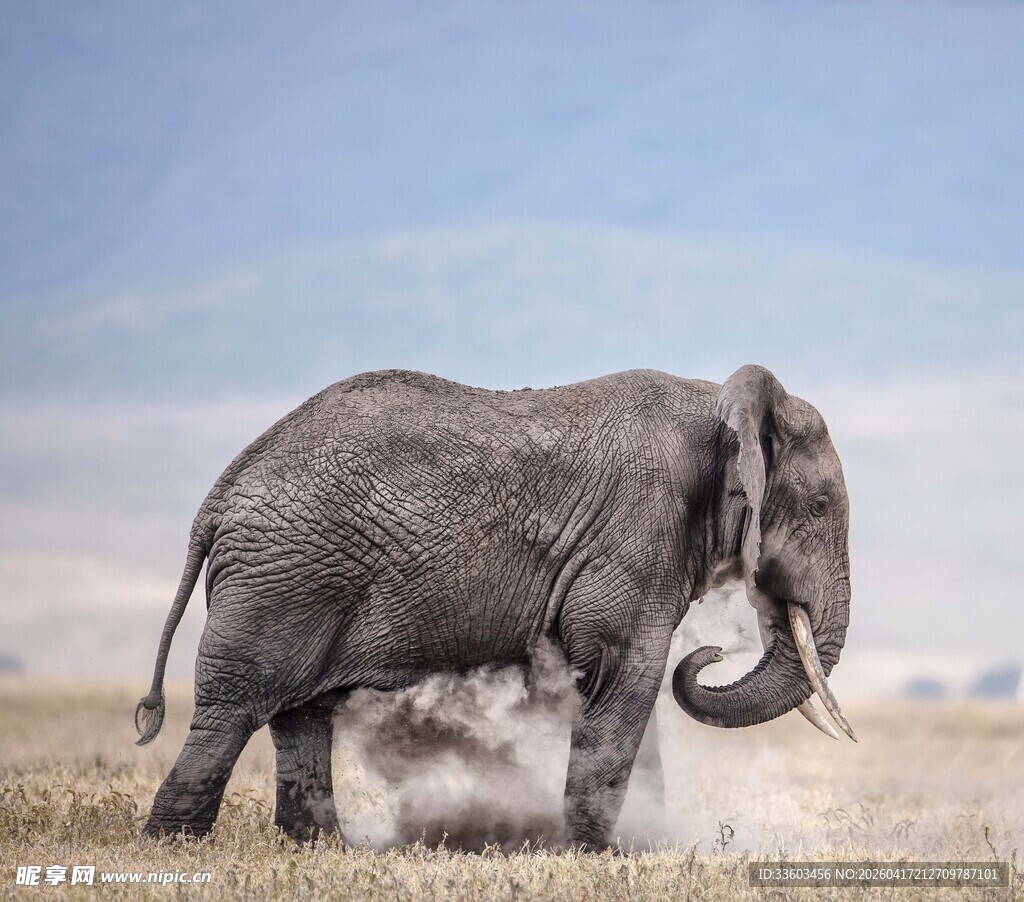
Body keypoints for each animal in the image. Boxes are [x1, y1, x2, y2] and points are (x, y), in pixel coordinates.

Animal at [135, 364, 855, 849]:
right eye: (821, 507)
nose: (712, 653)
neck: (718, 404)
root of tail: (220, 494)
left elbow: (622, 691)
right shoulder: (637, 535)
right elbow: (627, 676)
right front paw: (596, 854)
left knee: (299, 716)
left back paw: (322, 849)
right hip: (282, 580)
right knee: (233, 709)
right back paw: (174, 844)